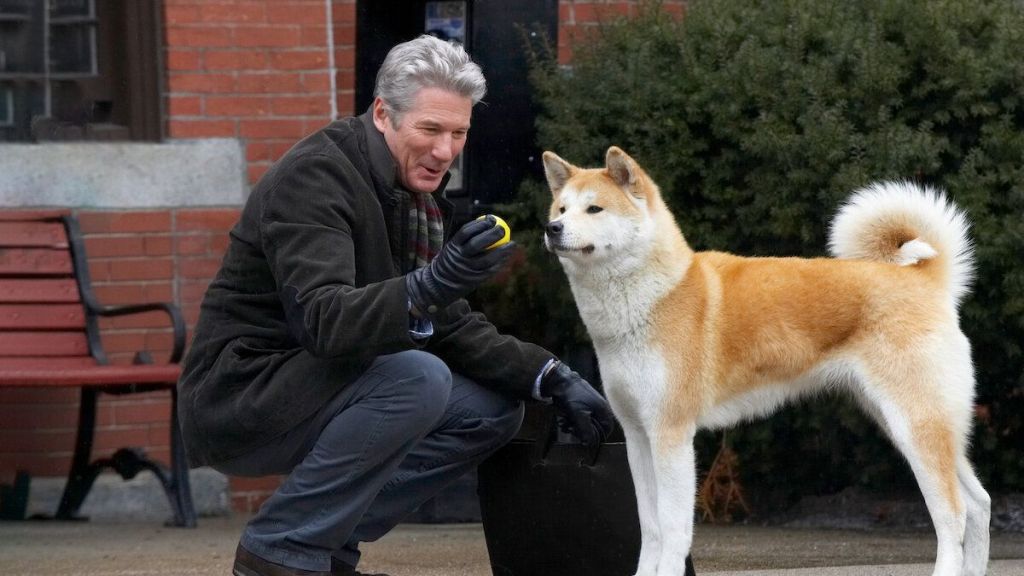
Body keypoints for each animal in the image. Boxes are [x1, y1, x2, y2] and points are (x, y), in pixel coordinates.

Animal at [544, 144, 991, 573]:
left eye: (594, 209)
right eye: (561, 209)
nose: (552, 229)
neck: (656, 296)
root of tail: (925, 279)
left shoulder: (671, 434)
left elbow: (672, 530)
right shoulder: (638, 436)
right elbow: (650, 528)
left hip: (916, 427)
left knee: (954, 514)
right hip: (916, 426)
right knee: (980, 503)